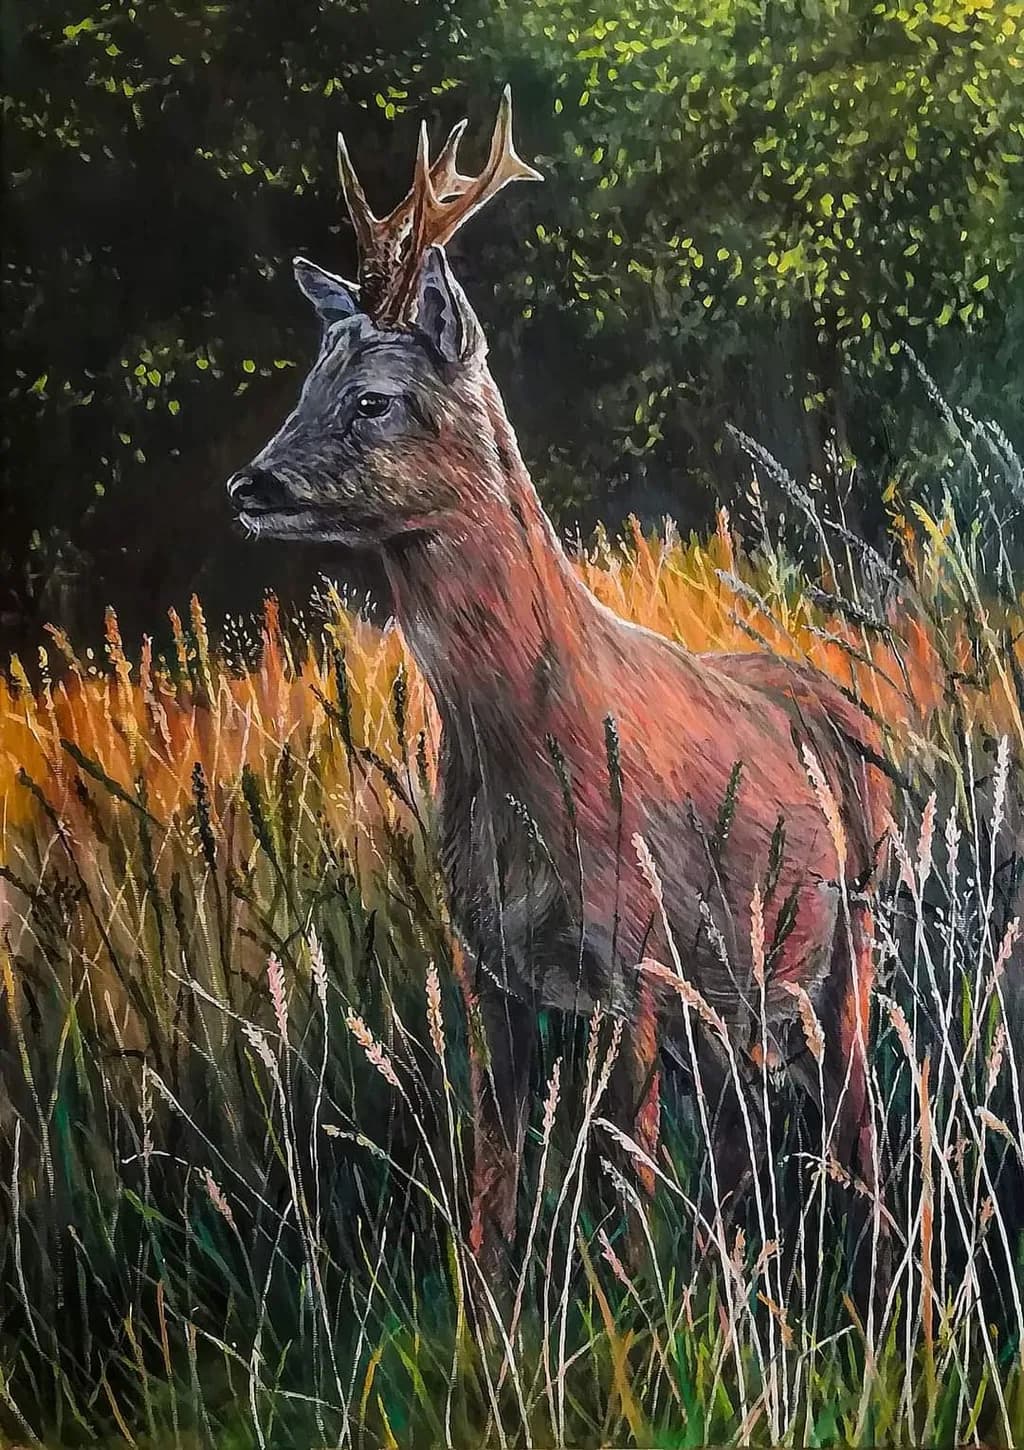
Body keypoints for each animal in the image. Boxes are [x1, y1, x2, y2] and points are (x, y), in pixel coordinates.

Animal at [225, 90, 890, 1277]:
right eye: (309, 383)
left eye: (374, 399)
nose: (250, 484)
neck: (539, 744)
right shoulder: (491, 970)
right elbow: (492, 1195)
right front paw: (493, 1316)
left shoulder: (635, 958)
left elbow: (628, 1195)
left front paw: (633, 1319)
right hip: (740, 1007)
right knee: (748, 1155)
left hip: (851, 943)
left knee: (865, 1132)